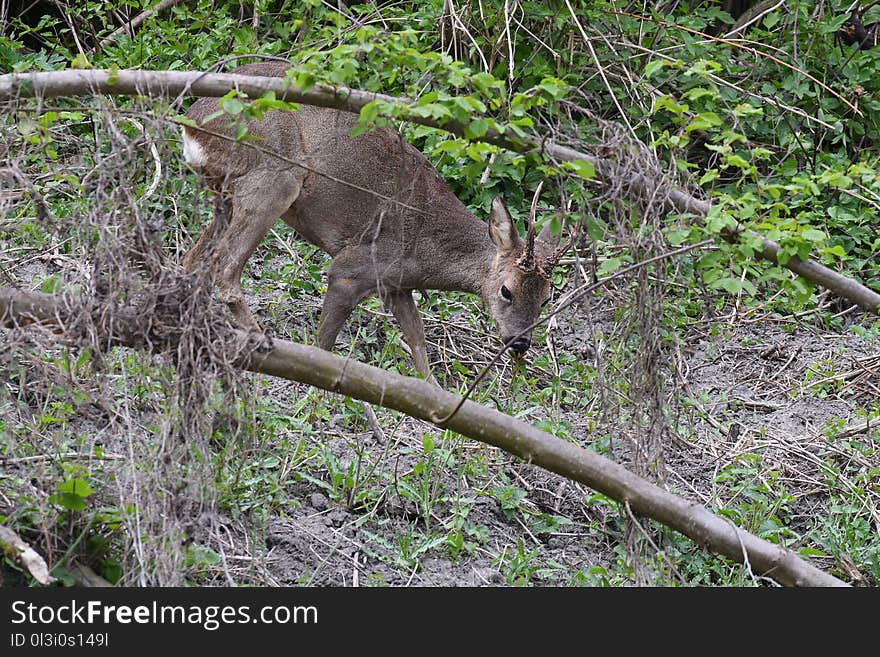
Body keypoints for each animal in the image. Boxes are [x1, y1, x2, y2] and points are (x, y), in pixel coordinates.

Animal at [184, 64, 572, 380]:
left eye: (547, 299)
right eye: (506, 290)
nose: (520, 343)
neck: (425, 249)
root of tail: (192, 127)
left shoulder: (395, 284)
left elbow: (418, 339)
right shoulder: (351, 267)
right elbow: (324, 343)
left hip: (225, 194)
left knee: (193, 259)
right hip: (273, 177)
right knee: (225, 267)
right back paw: (260, 339)